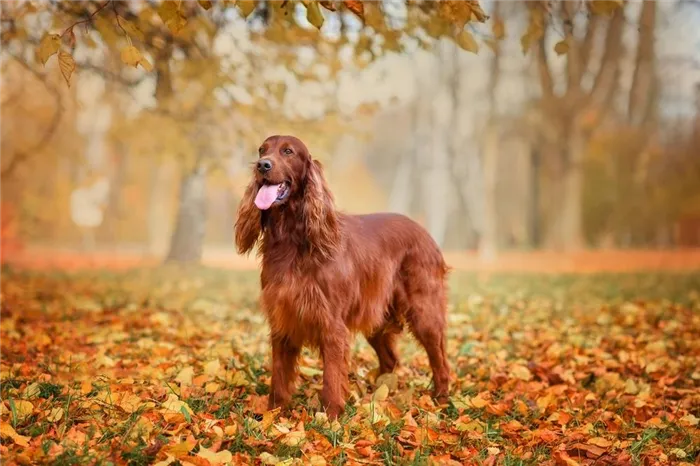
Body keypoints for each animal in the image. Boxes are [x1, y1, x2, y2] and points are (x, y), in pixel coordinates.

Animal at [234, 135, 448, 418]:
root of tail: (426, 233)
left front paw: (331, 416)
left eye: (288, 151)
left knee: (440, 359)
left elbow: (332, 377)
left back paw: (441, 400)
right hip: (377, 317)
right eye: (262, 150)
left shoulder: (331, 323)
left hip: (424, 311)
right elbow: (279, 374)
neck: (293, 238)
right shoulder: (282, 318)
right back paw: (377, 396)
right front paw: (274, 413)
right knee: (390, 359)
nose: (262, 165)